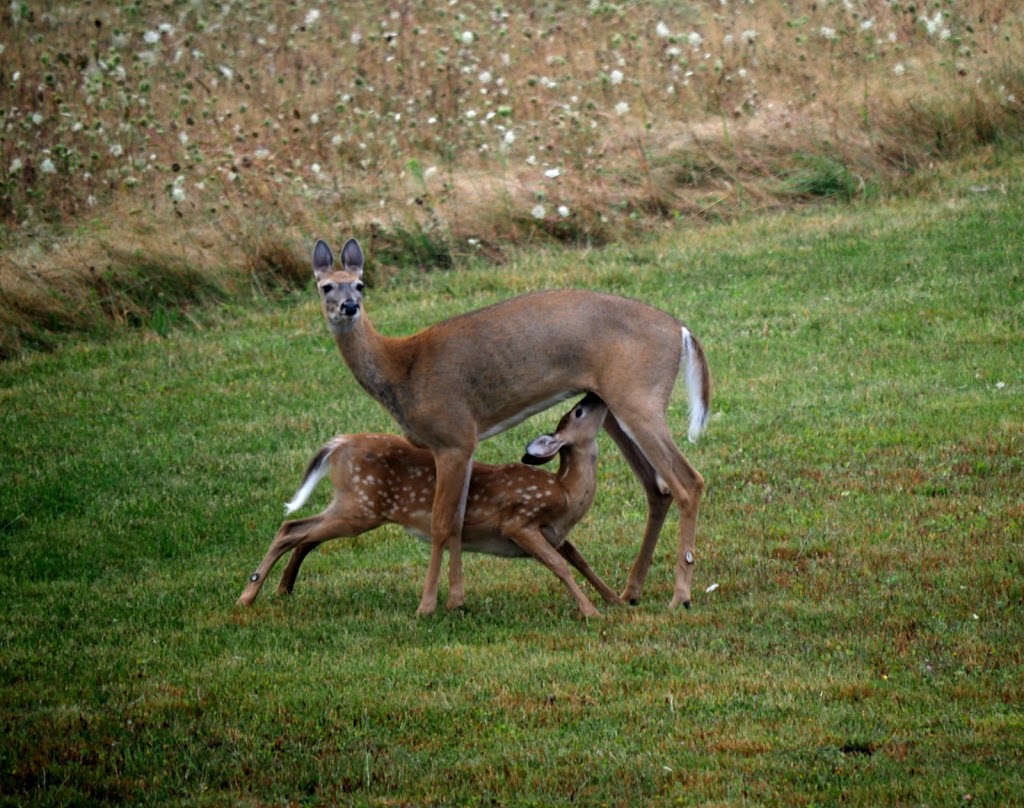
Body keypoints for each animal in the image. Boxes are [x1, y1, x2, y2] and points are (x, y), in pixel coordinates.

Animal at [239, 393, 618, 614]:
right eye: (580, 411)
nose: (595, 394)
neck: (565, 493)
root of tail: (339, 444)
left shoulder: (555, 534)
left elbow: (580, 560)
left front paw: (616, 599)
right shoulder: (518, 522)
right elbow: (559, 566)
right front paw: (590, 612)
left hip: (351, 504)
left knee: (302, 532)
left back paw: (282, 589)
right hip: (362, 506)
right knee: (292, 529)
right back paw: (248, 596)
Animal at [315, 236, 708, 614]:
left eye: (360, 284)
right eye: (325, 286)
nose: (348, 306)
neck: (401, 370)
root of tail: (682, 330)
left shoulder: (452, 436)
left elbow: (442, 523)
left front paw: (427, 606)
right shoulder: (465, 443)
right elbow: (457, 521)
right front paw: (456, 601)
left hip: (639, 397)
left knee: (688, 482)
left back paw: (680, 596)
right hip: (612, 405)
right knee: (657, 488)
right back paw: (631, 592)